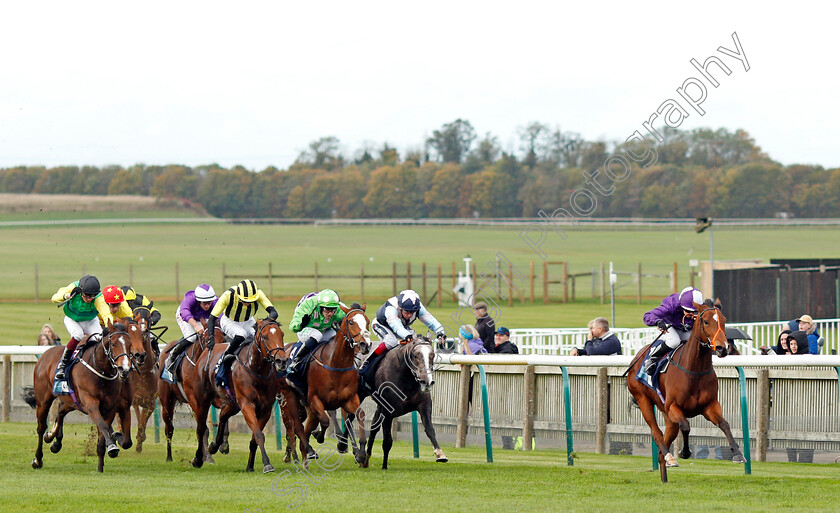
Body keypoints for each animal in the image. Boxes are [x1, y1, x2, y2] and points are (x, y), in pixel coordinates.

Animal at [28, 320, 145, 472]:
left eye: (130, 344)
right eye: (113, 344)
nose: (124, 368)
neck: (100, 369)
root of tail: (46, 353)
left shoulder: (112, 407)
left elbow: (109, 434)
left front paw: (101, 466)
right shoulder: (91, 404)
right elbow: (103, 426)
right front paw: (112, 446)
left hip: (71, 402)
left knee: (60, 412)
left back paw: (52, 439)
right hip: (43, 401)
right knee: (41, 428)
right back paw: (38, 459)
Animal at [188, 320, 286, 472]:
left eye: (282, 335)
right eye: (264, 337)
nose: (281, 360)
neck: (256, 370)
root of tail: (205, 354)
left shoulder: (265, 410)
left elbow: (254, 438)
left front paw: (250, 466)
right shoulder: (247, 405)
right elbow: (259, 435)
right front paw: (267, 464)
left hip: (232, 403)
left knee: (223, 416)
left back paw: (215, 446)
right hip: (201, 400)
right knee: (201, 428)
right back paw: (198, 459)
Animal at [364, 336, 450, 468]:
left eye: (432, 354)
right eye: (415, 355)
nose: (427, 382)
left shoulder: (424, 404)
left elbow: (430, 429)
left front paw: (440, 454)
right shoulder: (388, 410)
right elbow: (387, 440)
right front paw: (384, 466)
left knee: (374, 426)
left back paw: (365, 459)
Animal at [628, 298, 744, 482]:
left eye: (724, 320)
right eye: (706, 321)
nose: (722, 348)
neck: (694, 370)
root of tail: (636, 357)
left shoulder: (709, 406)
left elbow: (724, 424)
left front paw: (738, 453)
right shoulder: (674, 407)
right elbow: (686, 425)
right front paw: (685, 452)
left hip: (667, 415)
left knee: (663, 444)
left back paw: (665, 475)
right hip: (643, 399)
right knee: (656, 433)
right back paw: (670, 457)